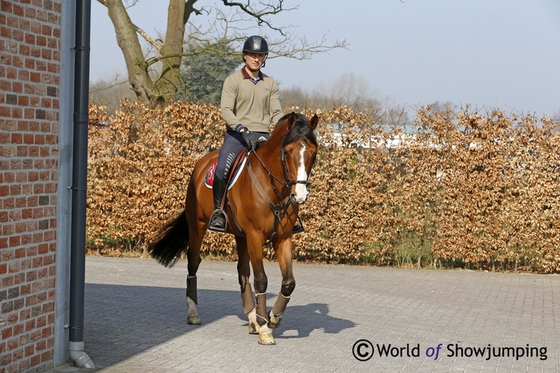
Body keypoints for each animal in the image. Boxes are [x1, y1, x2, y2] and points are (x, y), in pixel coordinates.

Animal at [148, 112, 320, 344]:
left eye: (313, 154)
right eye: (287, 151)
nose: (299, 195)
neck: (273, 186)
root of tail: (202, 162)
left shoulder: (282, 238)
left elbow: (288, 282)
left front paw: (272, 318)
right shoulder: (255, 236)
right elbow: (261, 280)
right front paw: (265, 329)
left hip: (241, 236)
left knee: (242, 272)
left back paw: (252, 318)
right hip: (198, 226)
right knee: (194, 262)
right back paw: (194, 313)